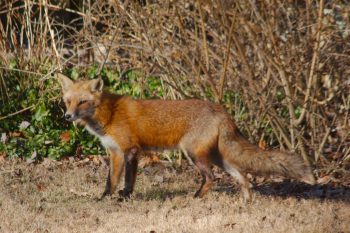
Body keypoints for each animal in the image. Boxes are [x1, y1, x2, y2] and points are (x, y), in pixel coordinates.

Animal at [57, 73, 314, 201]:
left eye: (83, 102)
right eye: (68, 101)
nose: (68, 116)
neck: (107, 114)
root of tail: (221, 110)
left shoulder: (130, 151)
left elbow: (128, 180)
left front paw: (124, 198)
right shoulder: (114, 152)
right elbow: (110, 181)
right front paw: (104, 199)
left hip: (194, 154)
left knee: (212, 177)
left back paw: (196, 197)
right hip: (219, 157)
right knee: (242, 177)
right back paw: (245, 202)